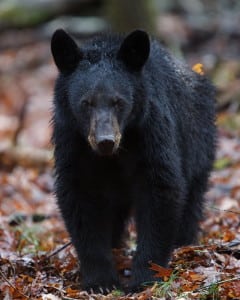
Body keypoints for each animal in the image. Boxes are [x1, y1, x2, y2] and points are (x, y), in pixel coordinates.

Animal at [50, 28, 216, 292]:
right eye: (86, 103)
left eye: (119, 102)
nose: (105, 141)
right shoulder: (72, 142)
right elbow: (79, 198)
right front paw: (100, 280)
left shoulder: (152, 133)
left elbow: (161, 191)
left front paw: (145, 276)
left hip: (198, 146)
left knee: (191, 202)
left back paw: (185, 243)